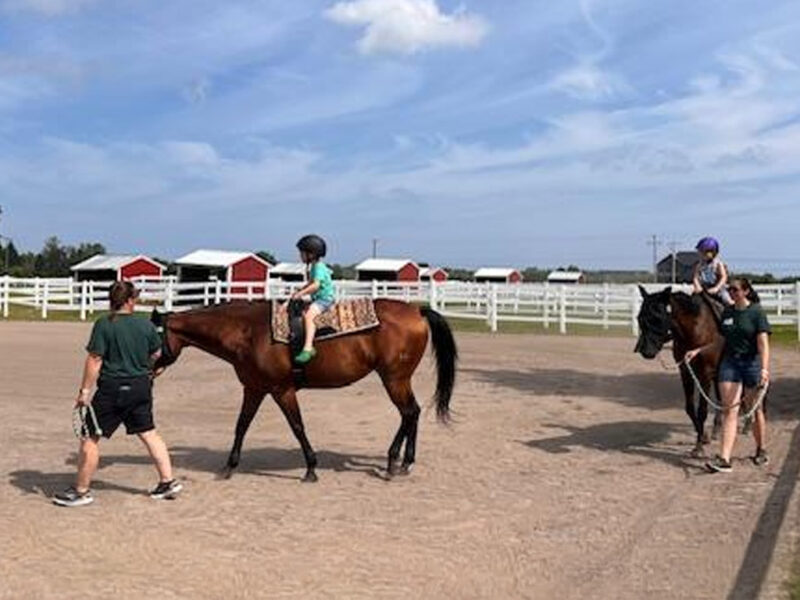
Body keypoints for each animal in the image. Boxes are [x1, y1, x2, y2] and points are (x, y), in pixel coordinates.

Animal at [151, 298, 457, 481]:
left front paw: (311, 467)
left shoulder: (282, 390)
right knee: (413, 412)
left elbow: (297, 426)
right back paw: (405, 462)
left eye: (151, 337)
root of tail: (417, 310)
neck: (249, 332)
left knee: (408, 413)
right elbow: (241, 425)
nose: (147, 371)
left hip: (394, 379)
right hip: (399, 379)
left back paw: (394, 462)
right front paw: (229, 466)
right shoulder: (254, 388)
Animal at [634, 286, 723, 456]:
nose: (647, 351)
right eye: (639, 318)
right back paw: (717, 429)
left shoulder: (706, 374)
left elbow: (702, 410)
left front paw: (699, 447)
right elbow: (689, 408)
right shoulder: (685, 371)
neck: (696, 330)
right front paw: (703, 437)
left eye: (658, 318)